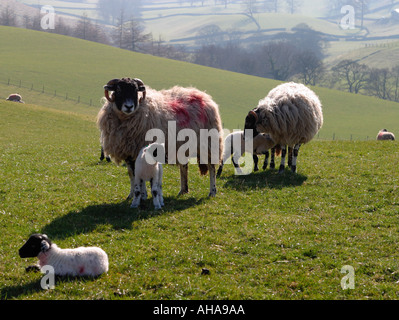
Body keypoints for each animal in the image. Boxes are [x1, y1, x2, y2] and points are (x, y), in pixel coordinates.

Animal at [95, 77, 223, 198]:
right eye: (118, 89)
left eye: (136, 90)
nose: (129, 106)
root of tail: (204, 96)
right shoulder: (128, 151)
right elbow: (132, 174)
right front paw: (131, 195)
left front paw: (143, 195)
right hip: (183, 146)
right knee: (184, 167)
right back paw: (183, 190)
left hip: (209, 143)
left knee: (211, 167)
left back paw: (212, 191)